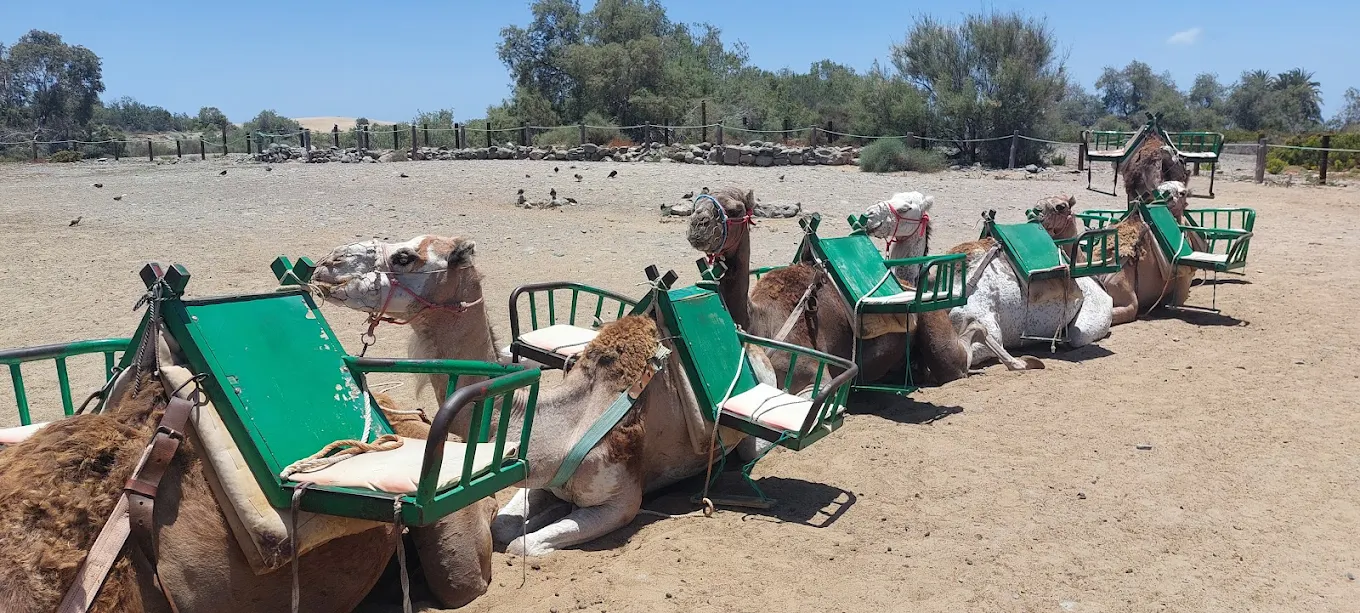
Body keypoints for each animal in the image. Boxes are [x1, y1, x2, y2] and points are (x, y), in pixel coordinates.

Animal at [311, 235, 763, 557]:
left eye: (405, 257)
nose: (327, 263)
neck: (564, 423)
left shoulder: (621, 501)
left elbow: (522, 545)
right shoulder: (540, 477)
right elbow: (503, 526)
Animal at [686, 188, 1037, 387]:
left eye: (733, 209)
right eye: (696, 204)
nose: (697, 225)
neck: (758, 320)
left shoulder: (816, 375)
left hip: (938, 339)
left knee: (963, 352)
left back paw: (1020, 362)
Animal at [860, 192, 1111, 367]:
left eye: (906, 207)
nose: (868, 215)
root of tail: (1095, 282)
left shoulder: (989, 327)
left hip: (1090, 318)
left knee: (1077, 336)